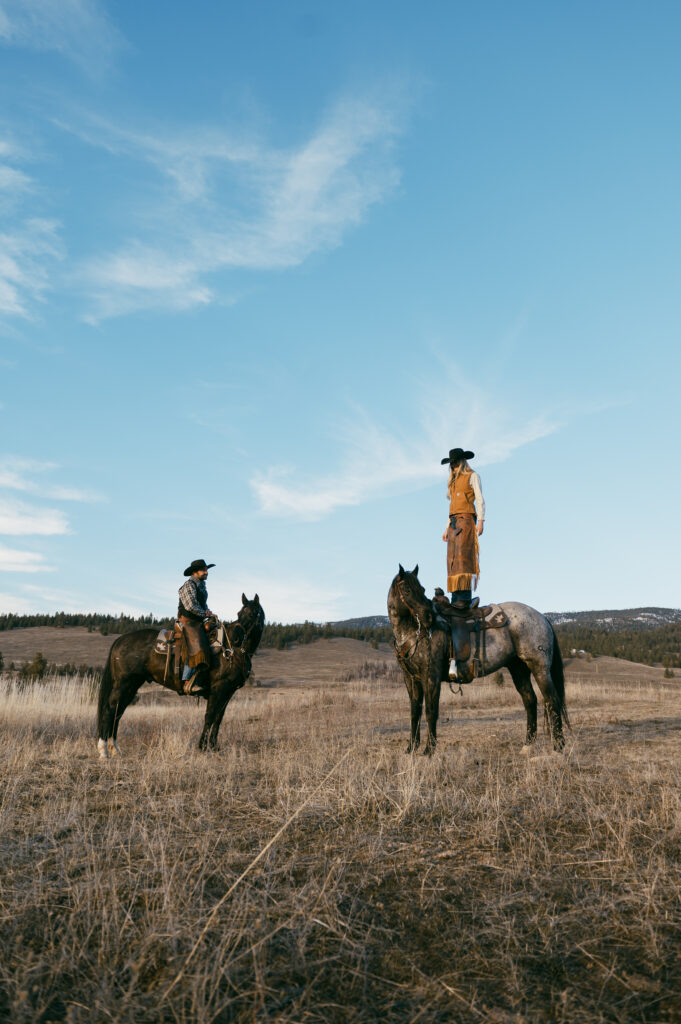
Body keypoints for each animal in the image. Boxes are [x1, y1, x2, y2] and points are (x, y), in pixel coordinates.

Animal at [95, 593, 262, 761]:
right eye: (240, 614)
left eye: (253, 614)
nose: (236, 638)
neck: (231, 653)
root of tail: (120, 640)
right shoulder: (218, 689)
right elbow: (209, 716)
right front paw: (203, 746)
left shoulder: (228, 692)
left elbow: (218, 718)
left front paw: (214, 746)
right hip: (123, 684)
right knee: (110, 710)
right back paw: (103, 751)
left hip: (132, 685)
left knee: (118, 712)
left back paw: (115, 749)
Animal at [387, 565, 569, 757]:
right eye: (407, 589)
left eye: (421, 589)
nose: (429, 617)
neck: (413, 632)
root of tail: (542, 617)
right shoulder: (411, 679)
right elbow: (415, 711)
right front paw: (411, 748)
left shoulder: (431, 676)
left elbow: (431, 710)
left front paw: (429, 750)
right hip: (519, 670)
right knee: (530, 701)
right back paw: (528, 745)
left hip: (540, 668)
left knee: (552, 700)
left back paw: (558, 747)